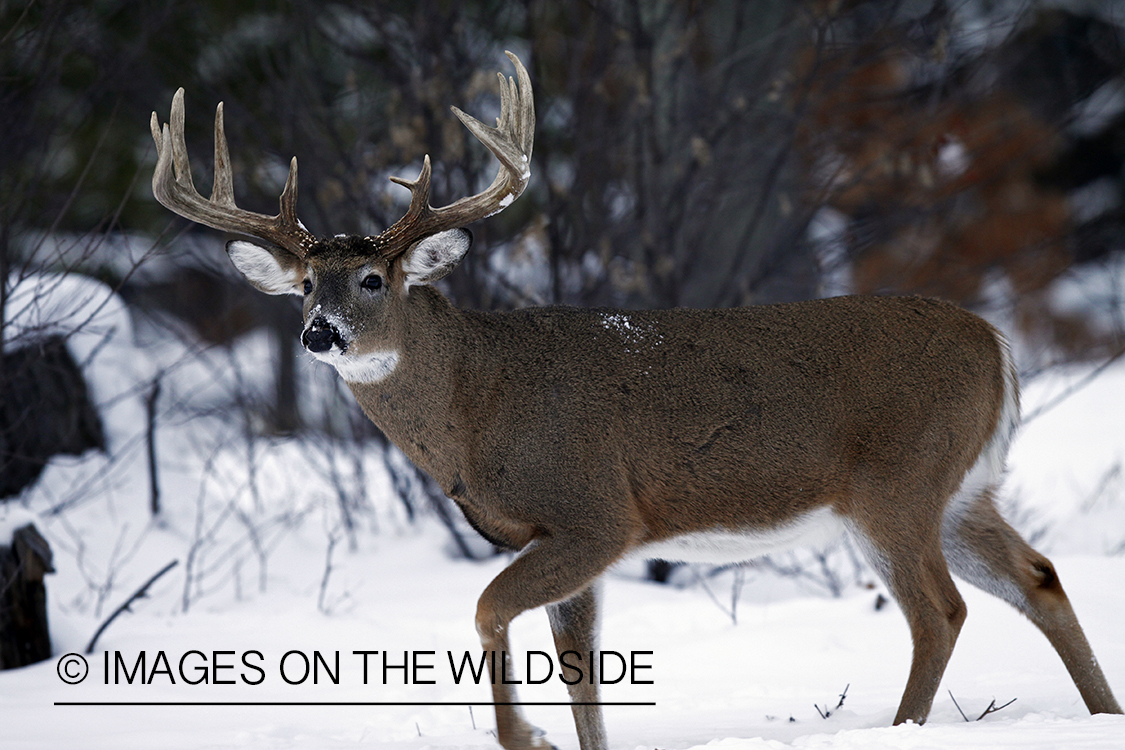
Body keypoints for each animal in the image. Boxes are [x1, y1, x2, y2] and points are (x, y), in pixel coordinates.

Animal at [151, 52, 1125, 750]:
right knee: (1038, 577)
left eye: (373, 279)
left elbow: (489, 611)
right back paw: (1100, 716)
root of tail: (997, 345)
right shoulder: (561, 538)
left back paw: (903, 731)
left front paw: (524, 739)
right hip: (962, 489)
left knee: (939, 611)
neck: (475, 402)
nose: (320, 334)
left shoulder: (594, 513)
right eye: (303, 286)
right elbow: (580, 671)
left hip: (895, 482)